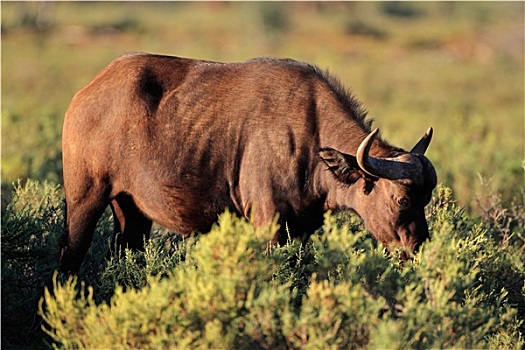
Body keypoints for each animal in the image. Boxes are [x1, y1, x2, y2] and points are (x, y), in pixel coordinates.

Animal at [60, 53, 438, 272]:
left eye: (426, 200)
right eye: (402, 200)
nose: (417, 250)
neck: (309, 136)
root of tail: (84, 95)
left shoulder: (301, 229)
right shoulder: (268, 225)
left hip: (131, 211)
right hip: (84, 199)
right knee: (69, 256)